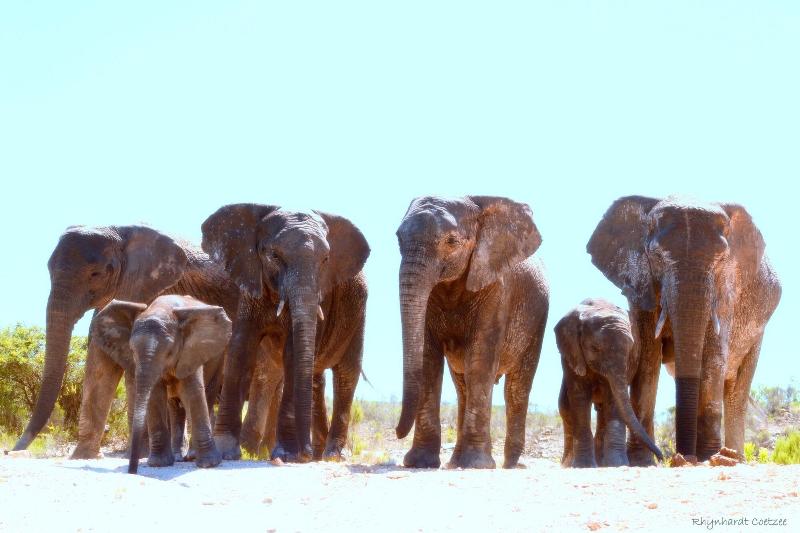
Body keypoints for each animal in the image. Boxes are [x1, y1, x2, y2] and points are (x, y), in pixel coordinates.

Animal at [92, 296, 231, 473]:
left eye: (169, 352)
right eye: (132, 350)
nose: (132, 471)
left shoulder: (191, 351)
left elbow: (193, 392)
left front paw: (209, 464)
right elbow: (155, 395)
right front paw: (158, 464)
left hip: (218, 358)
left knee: (207, 395)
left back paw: (192, 457)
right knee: (175, 406)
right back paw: (178, 457)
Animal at [201, 204, 370, 463]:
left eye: (326, 259)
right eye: (274, 256)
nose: (303, 454)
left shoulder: (324, 294)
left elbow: (292, 355)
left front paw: (287, 454)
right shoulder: (251, 282)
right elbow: (240, 349)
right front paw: (225, 452)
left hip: (357, 312)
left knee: (346, 374)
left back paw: (330, 455)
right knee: (315, 378)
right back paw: (318, 454)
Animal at [394, 195, 549, 469]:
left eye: (451, 241)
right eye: (398, 239)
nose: (396, 432)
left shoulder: (497, 287)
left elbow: (480, 360)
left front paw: (476, 464)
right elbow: (428, 360)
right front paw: (420, 463)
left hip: (537, 319)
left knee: (516, 389)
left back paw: (511, 465)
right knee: (462, 387)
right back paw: (455, 462)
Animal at [556, 298, 663, 468]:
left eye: (632, 349)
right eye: (595, 348)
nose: (662, 458)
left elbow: (613, 399)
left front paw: (617, 464)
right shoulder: (571, 354)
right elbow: (579, 397)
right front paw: (584, 466)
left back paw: (602, 463)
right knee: (565, 407)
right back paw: (568, 464)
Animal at [587, 195, 781, 463]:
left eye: (721, 260)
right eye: (657, 257)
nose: (679, 457)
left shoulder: (728, 288)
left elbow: (713, 357)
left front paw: (709, 457)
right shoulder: (641, 283)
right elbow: (648, 356)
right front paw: (642, 461)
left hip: (758, 332)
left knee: (736, 391)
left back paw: (732, 458)